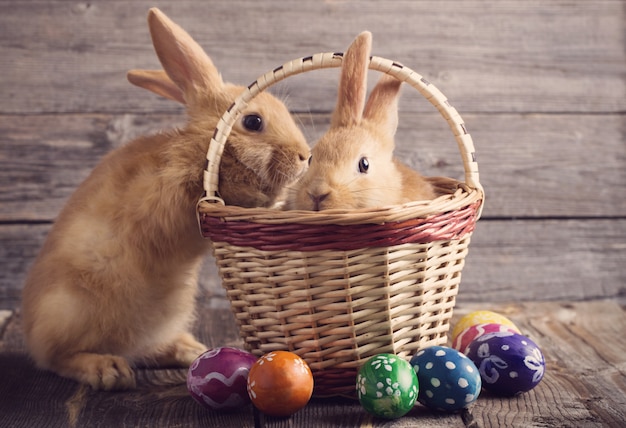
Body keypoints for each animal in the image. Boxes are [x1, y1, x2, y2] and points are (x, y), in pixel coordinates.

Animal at [20, 9, 310, 392]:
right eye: (252, 121)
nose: (306, 156)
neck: (201, 149)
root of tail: (29, 330)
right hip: (70, 311)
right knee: (55, 357)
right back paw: (107, 370)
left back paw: (187, 349)